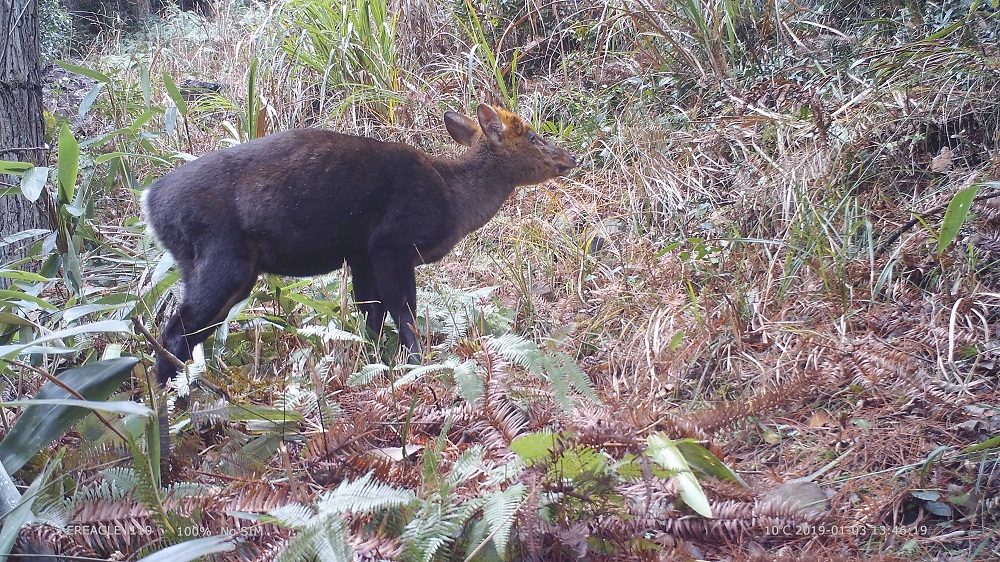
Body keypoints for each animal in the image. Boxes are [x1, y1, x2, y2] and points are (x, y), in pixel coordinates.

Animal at [142, 104, 580, 384]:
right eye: (534, 136)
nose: (570, 158)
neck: (453, 199)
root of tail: (151, 203)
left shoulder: (361, 255)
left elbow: (372, 312)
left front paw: (372, 360)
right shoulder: (391, 242)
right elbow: (402, 309)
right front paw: (418, 363)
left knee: (186, 335)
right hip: (221, 258)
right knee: (174, 332)